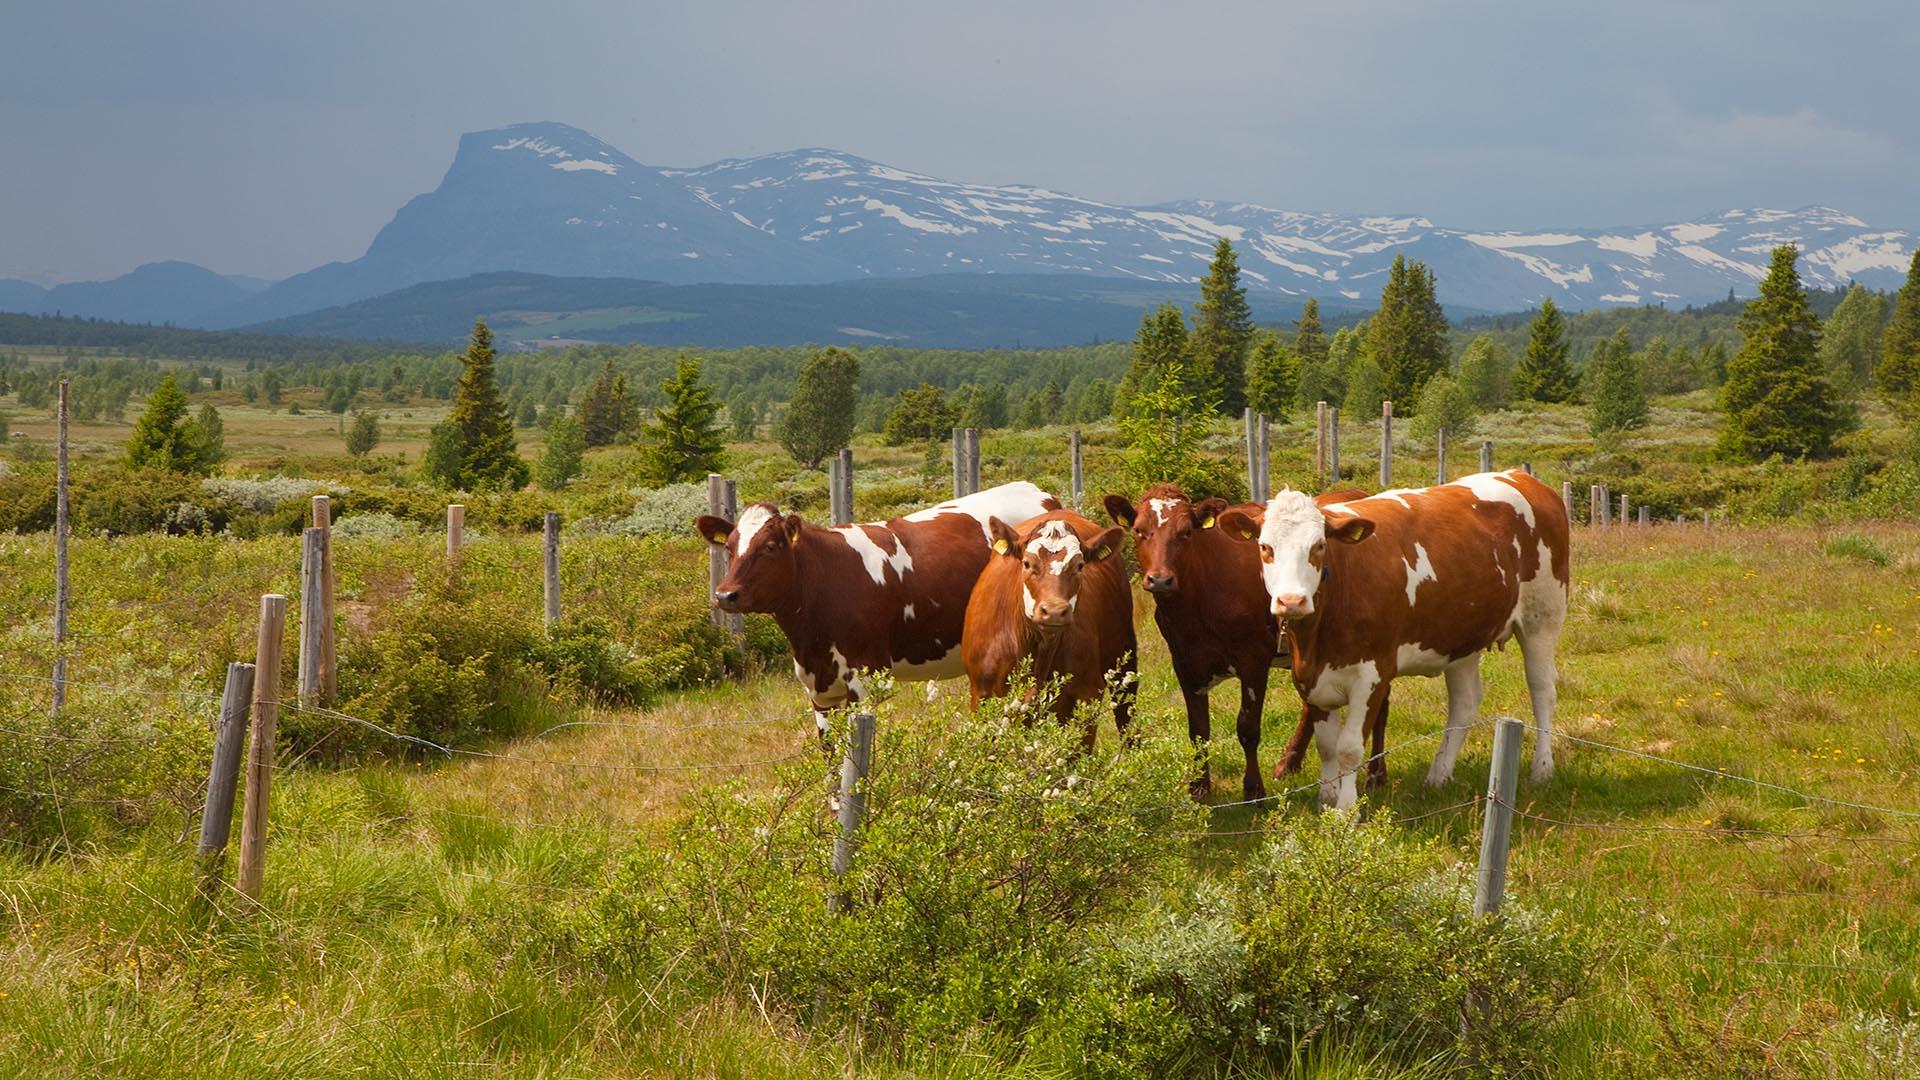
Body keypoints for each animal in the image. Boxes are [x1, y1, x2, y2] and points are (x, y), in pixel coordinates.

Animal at [698, 478, 1059, 722]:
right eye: (729, 547)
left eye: (770, 547)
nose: (725, 594)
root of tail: (1040, 494)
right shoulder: (819, 691)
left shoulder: (865, 680)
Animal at [1105, 480, 1390, 799]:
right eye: (1139, 530)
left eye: (1186, 532)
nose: (1160, 579)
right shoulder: (1185, 660)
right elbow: (1198, 730)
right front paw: (1199, 787)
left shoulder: (1253, 660)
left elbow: (1248, 728)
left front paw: (1254, 789)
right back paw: (1289, 762)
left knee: (1380, 707)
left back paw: (1376, 774)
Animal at [1221, 470, 1566, 807]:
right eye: (1265, 547)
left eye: (1318, 546)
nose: (1291, 601)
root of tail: (1521, 476)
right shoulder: (1312, 677)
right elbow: (1327, 746)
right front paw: (1326, 800)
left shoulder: (1372, 675)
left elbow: (1349, 749)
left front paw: (1344, 810)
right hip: (1463, 637)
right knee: (1465, 702)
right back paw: (1439, 775)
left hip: (1542, 618)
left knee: (1542, 690)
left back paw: (1542, 769)